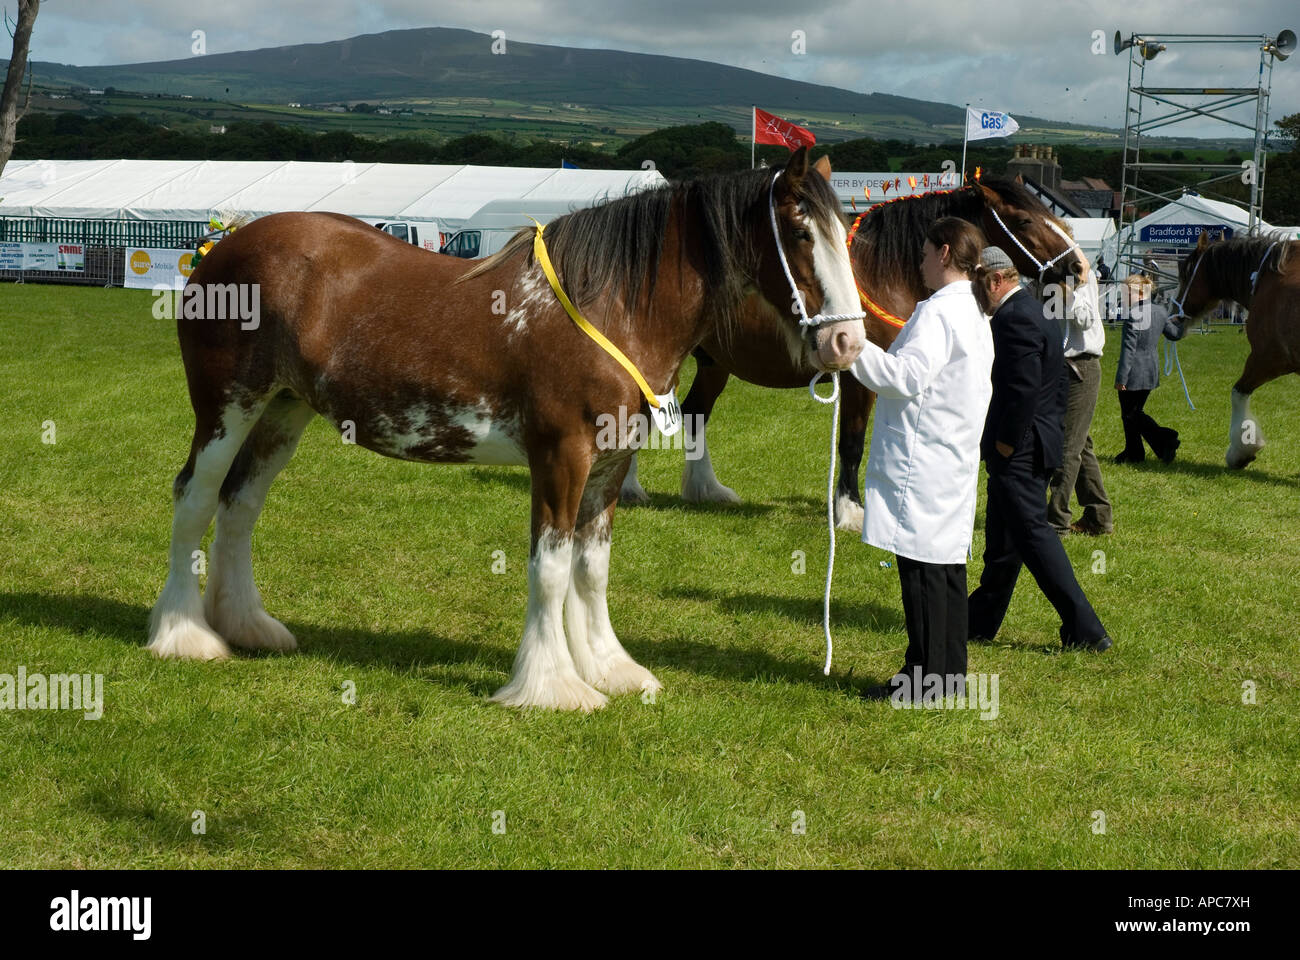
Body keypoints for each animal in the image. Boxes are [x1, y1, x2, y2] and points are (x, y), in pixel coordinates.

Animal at [147, 143, 868, 712]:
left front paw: (609, 668)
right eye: (801, 232)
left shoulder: (609, 466)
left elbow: (591, 569)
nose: (846, 344)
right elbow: (549, 569)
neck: (609, 304)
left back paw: (247, 626)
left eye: (845, 233)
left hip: (282, 410)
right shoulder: (561, 458)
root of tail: (223, 247)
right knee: (195, 498)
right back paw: (183, 634)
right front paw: (552, 685)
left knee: (240, 505)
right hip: (227, 406)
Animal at [618, 174, 1086, 530]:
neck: (885, 272)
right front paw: (851, 511)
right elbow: (852, 443)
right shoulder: (861, 381)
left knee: (695, 413)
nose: (1079, 266)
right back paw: (630, 489)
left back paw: (707, 489)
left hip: (715, 365)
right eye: (1024, 219)